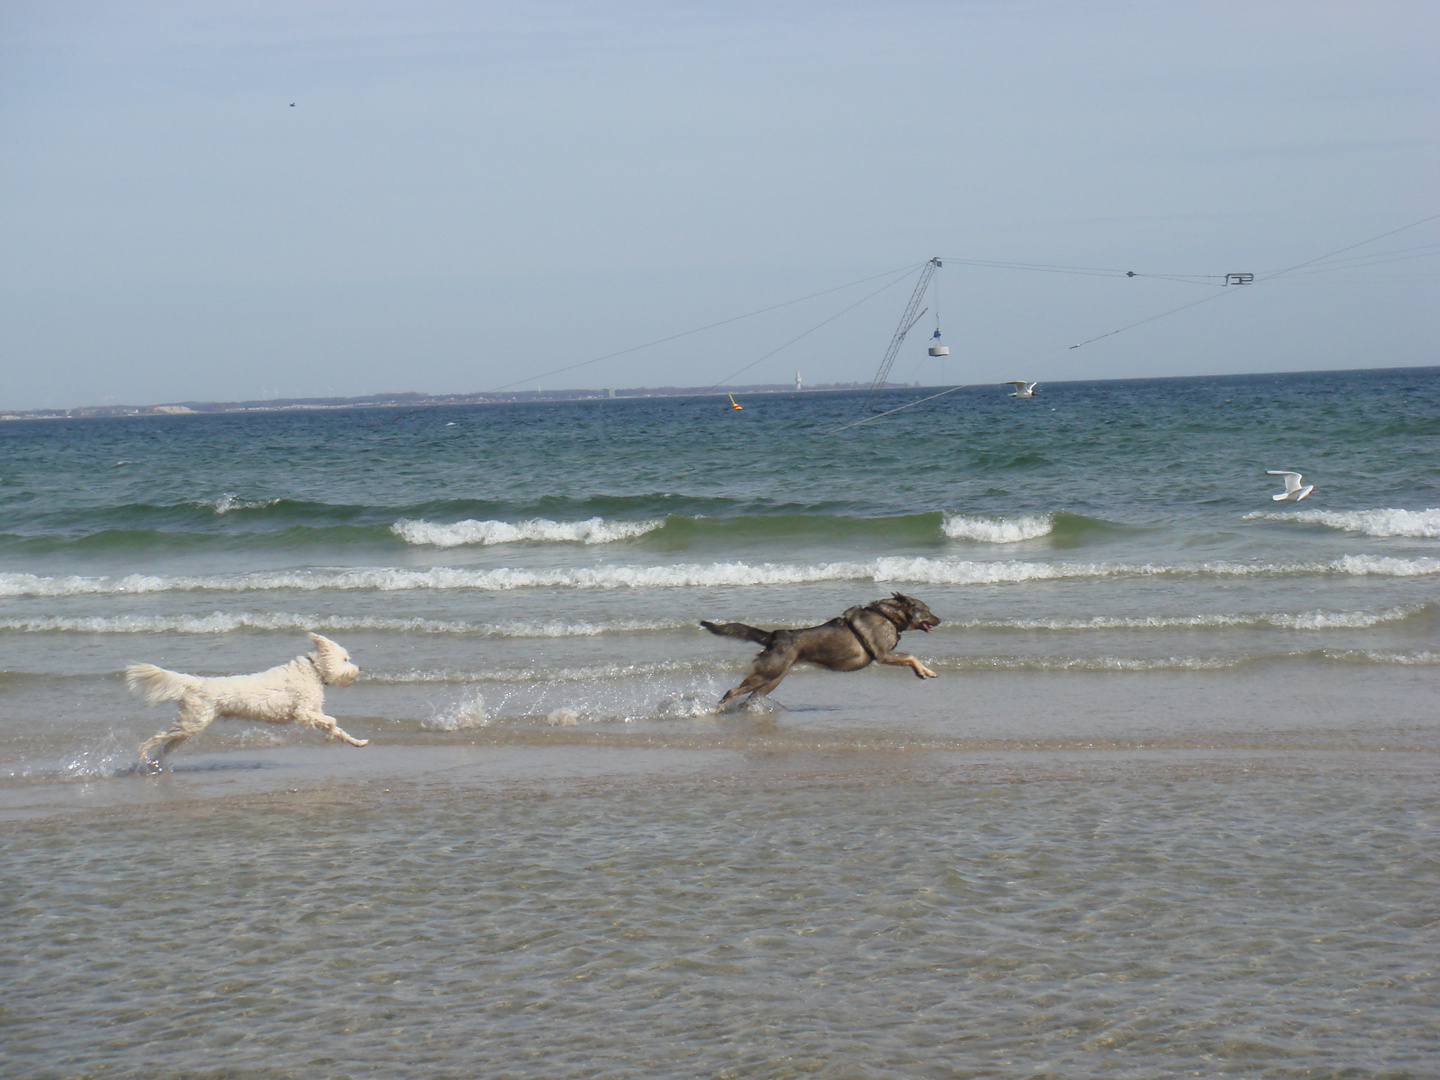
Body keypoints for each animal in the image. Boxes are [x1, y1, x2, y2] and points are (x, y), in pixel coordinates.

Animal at [126, 633, 368, 771]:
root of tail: (197, 683)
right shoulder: (303, 712)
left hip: (191, 725)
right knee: (158, 737)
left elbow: (337, 727)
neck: (314, 670)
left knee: (167, 744)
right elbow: (332, 721)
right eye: (345, 659)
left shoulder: (313, 712)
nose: (360, 667)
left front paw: (357, 742)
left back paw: (155, 761)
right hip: (192, 723)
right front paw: (329, 736)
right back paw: (142, 754)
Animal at [699, 593, 944, 711]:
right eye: (927, 611)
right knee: (731, 692)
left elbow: (911, 657)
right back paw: (715, 712)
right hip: (766, 675)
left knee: (748, 699)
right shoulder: (884, 655)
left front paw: (923, 671)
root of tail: (775, 635)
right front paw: (926, 671)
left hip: (772, 680)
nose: (940, 620)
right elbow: (911, 657)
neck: (887, 616)